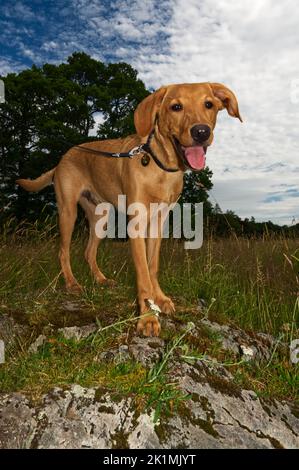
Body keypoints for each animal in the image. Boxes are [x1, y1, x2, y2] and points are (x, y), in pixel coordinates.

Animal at [16, 82, 243, 336]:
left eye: (209, 104)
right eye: (176, 107)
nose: (201, 132)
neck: (159, 166)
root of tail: (62, 158)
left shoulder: (158, 222)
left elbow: (152, 266)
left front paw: (159, 298)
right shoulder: (137, 222)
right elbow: (143, 273)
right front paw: (147, 318)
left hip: (101, 217)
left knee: (88, 251)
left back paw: (101, 280)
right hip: (68, 212)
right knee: (63, 251)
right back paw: (72, 284)